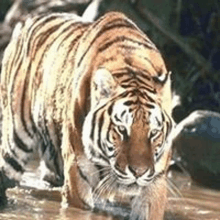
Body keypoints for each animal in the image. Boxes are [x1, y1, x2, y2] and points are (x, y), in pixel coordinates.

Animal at [0, 11, 174, 219]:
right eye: (122, 129)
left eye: (154, 132)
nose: (138, 172)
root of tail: (29, 22)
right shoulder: (77, 174)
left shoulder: (155, 181)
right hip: (14, 143)